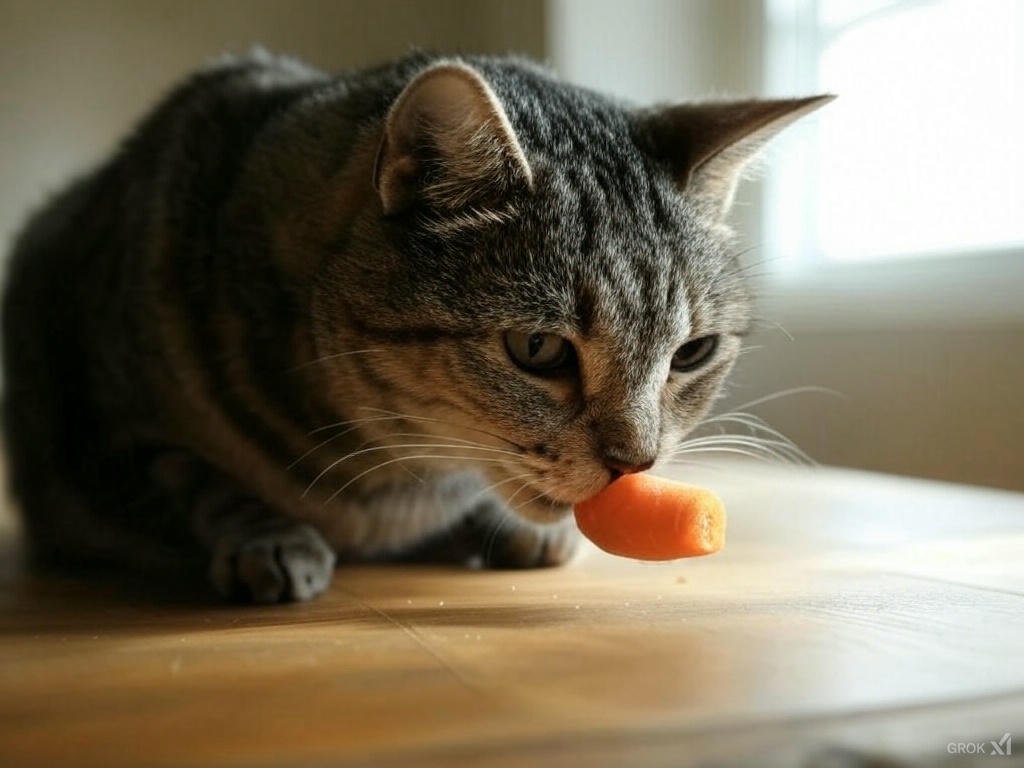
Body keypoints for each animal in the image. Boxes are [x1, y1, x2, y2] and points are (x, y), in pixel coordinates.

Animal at [2, 51, 831, 606]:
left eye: (693, 353)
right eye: (538, 349)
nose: (636, 462)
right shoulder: (109, 431)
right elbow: (200, 479)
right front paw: (269, 538)